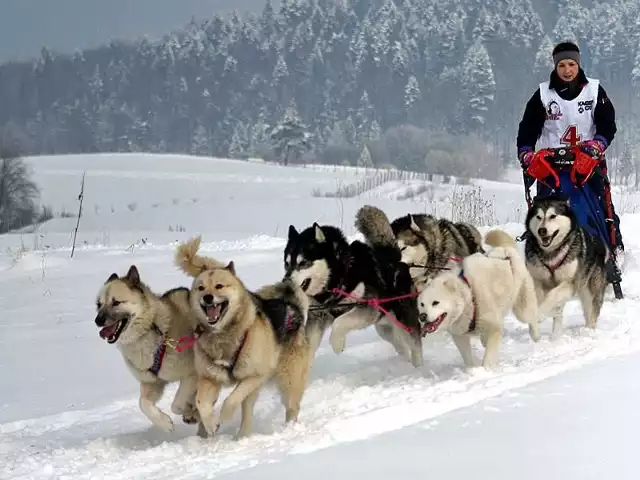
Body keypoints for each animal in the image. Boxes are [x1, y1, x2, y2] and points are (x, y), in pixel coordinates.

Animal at [94, 264, 205, 436]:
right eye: (99, 304)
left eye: (116, 302)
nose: (98, 320)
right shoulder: (152, 382)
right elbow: (143, 404)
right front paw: (164, 422)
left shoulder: (191, 374)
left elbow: (177, 404)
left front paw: (189, 412)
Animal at [175, 236, 328, 438]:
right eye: (200, 288)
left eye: (219, 286)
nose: (207, 297)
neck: (225, 335)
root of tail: (291, 305)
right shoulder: (210, 379)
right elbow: (201, 402)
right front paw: (210, 424)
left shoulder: (255, 376)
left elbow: (230, 400)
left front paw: (223, 417)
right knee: (247, 413)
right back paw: (241, 436)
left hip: (288, 379)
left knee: (291, 407)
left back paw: (289, 429)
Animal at [282, 206, 422, 368]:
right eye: (287, 263)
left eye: (303, 262)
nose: (285, 281)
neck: (339, 278)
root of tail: (394, 258)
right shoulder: (317, 318)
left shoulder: (366, 307)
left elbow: (339, 322)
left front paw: (337, 344)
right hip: (386, 329)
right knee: (402, 347)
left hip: (405, 324)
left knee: (415, 347)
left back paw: (418, 367)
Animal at [416, 229, 540, 368]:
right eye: (422, 304)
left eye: (435, 303)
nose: (422, 317)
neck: (469, 297)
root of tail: (506, 250)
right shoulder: (460, 336)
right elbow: (467, 357)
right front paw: (471, 369)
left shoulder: (494, 326)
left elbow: (488, 356)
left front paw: (486, 369)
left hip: (522, 309)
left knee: (532, 317)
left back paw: (536, 336)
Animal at [524, 194, 608, 338]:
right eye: (538, 217)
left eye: (553, 216)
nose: (542, 230)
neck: (550, 253)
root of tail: (600, 243)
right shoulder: (536, 280)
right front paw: (534, 331)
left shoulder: (570, 283)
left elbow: (552, 296)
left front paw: (541, 315)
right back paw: (555, 336)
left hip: (590, 292)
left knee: (591, 314)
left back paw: (588, 332)